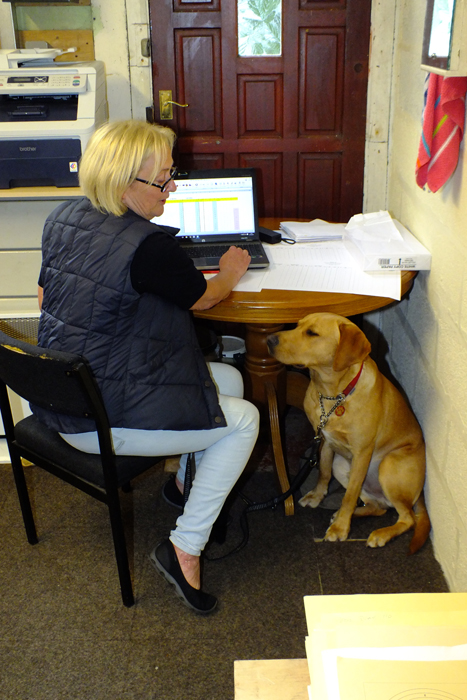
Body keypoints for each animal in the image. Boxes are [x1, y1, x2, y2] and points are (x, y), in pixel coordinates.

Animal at [266, 312, 432, 552]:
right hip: (343, 465)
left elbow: (349, 495)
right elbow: (323, 473)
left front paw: (340, 529)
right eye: (296, 326)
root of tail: (420, 495)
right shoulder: (325, 441)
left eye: (312, 333)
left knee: (408, 518)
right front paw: (317, 496)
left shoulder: (362, 452)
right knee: (379, 507)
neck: (332, 394)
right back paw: (348, 514)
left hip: (388, 465)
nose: (268, 340)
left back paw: (379, 533)